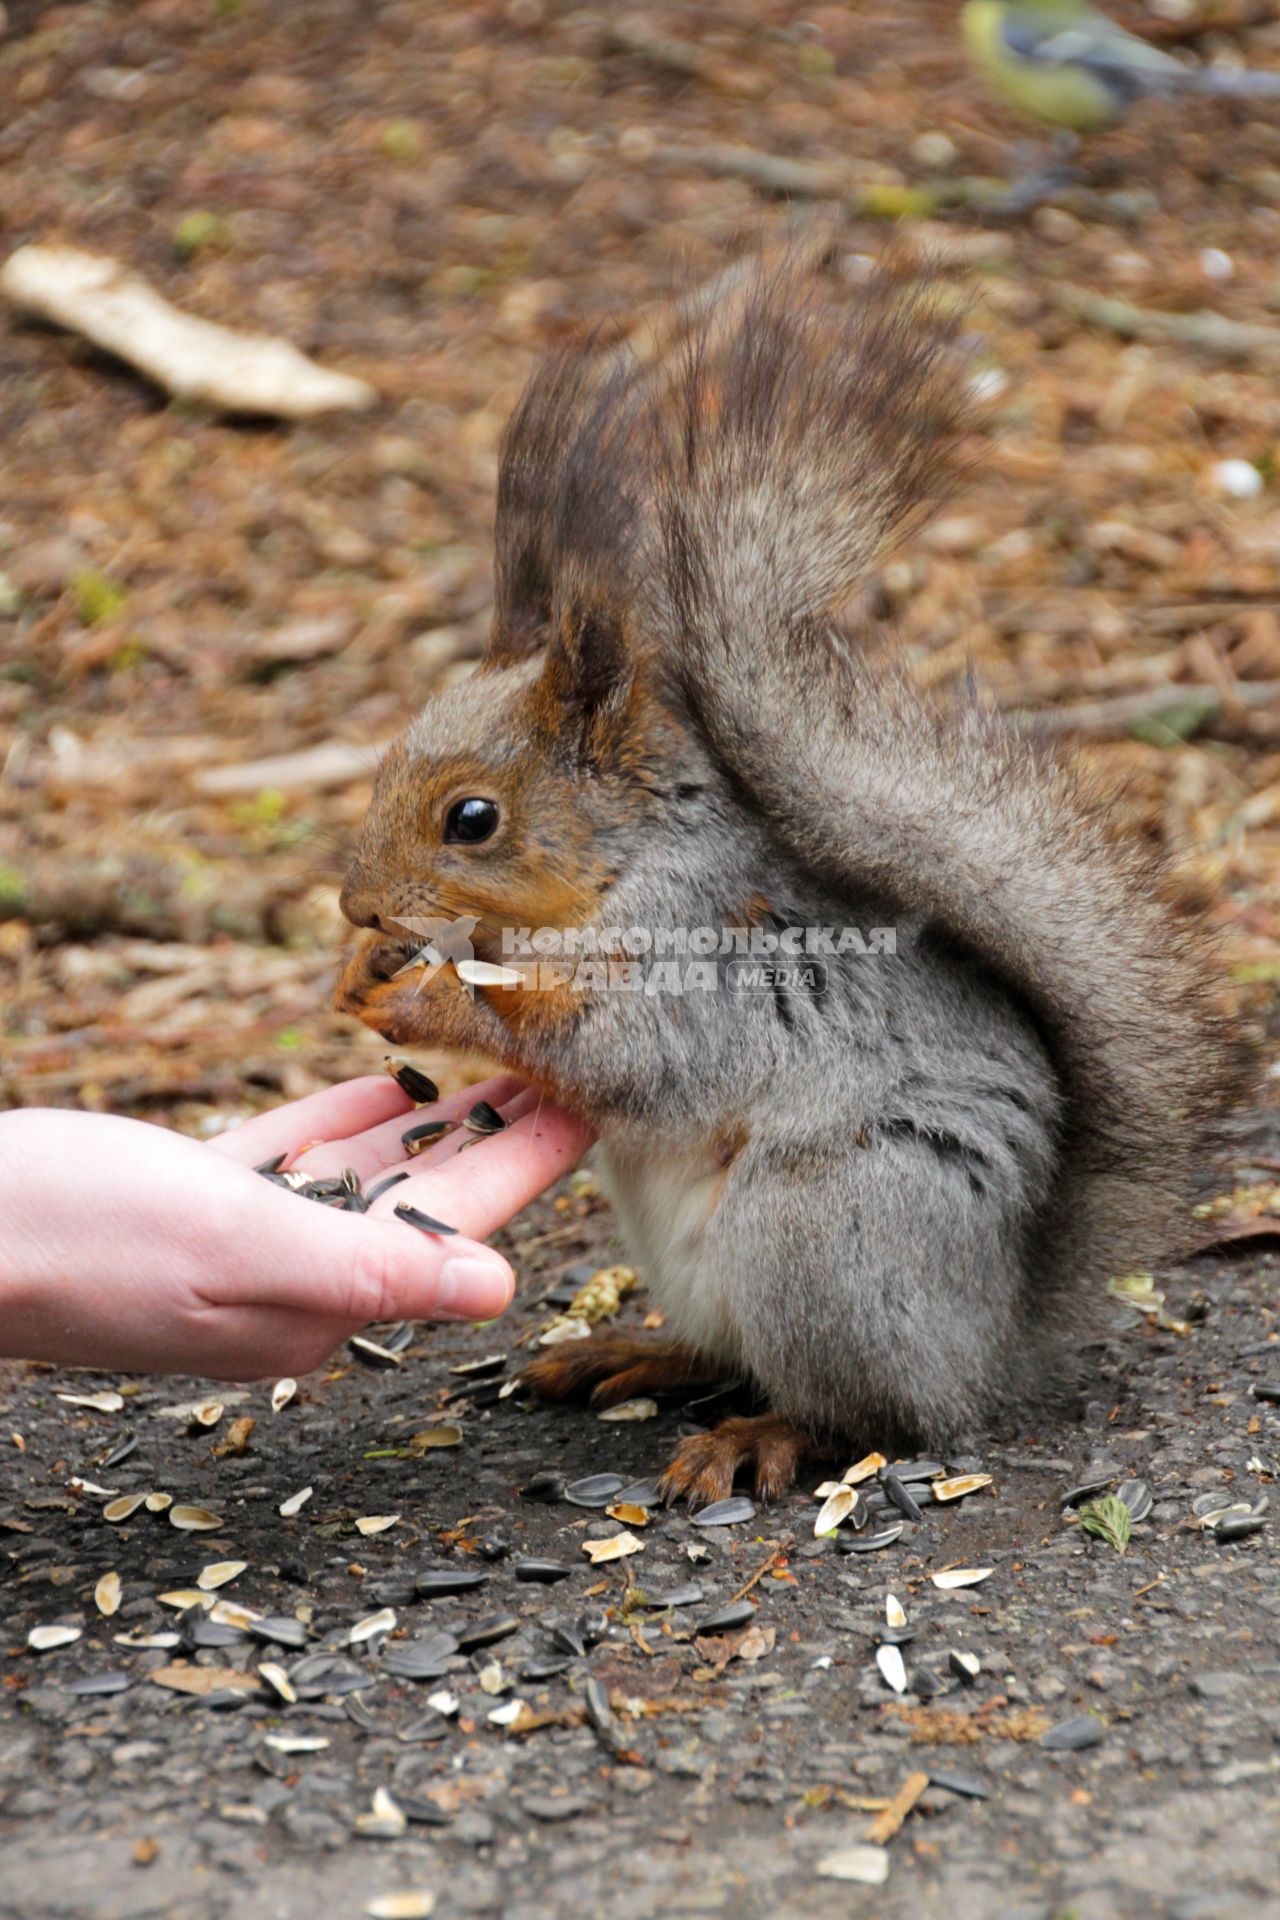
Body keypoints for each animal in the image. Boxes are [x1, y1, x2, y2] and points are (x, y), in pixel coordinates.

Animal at [333, 266, 1243, 1497]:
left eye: (471, 820)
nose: (355, 903)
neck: (621, 868)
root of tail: (989, 1340)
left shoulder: (696, 963)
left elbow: (614, 1053)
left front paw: (428, 997)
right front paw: (364, 971)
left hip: (819, 1230)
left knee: (864, 1415)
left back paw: (760, 1437)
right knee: (732, 1354)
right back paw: (634, 1355)